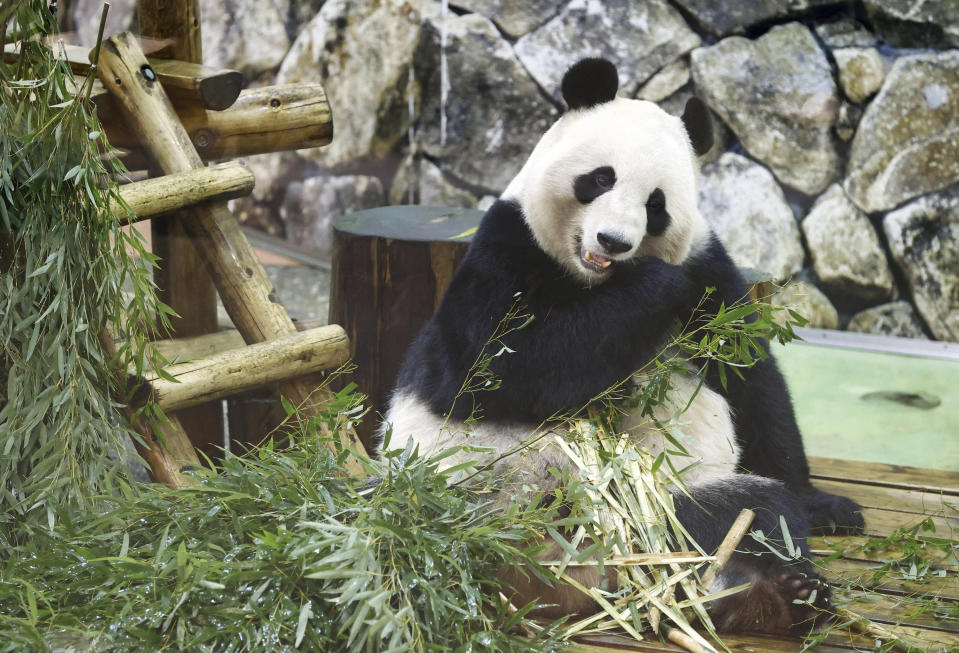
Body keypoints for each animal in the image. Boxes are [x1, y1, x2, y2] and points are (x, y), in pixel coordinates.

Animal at [378, 59, 868, 632]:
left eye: (656, 205)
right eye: (600, 178)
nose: (613, 242)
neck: (597, 282)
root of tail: (585, 578)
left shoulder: (709, 270)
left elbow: (752, 386)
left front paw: (827, 506)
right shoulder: (505, 250)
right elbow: (491, 370)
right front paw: (654, 286)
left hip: (671, 501)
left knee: (752, 515)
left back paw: (773, 598)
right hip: (450, 497)